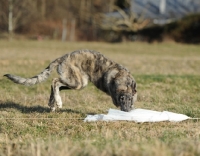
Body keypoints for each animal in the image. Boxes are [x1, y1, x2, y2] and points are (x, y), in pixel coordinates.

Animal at [3, 49, 138, 111]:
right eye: (121, 99)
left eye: (130, 99)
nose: (126, 111)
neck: (124, 82)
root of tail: (63, 57)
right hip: (77, 82)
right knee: (55, 81)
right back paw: (58, 102)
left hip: (78, 82)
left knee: (56, 86)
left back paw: (53, 104)